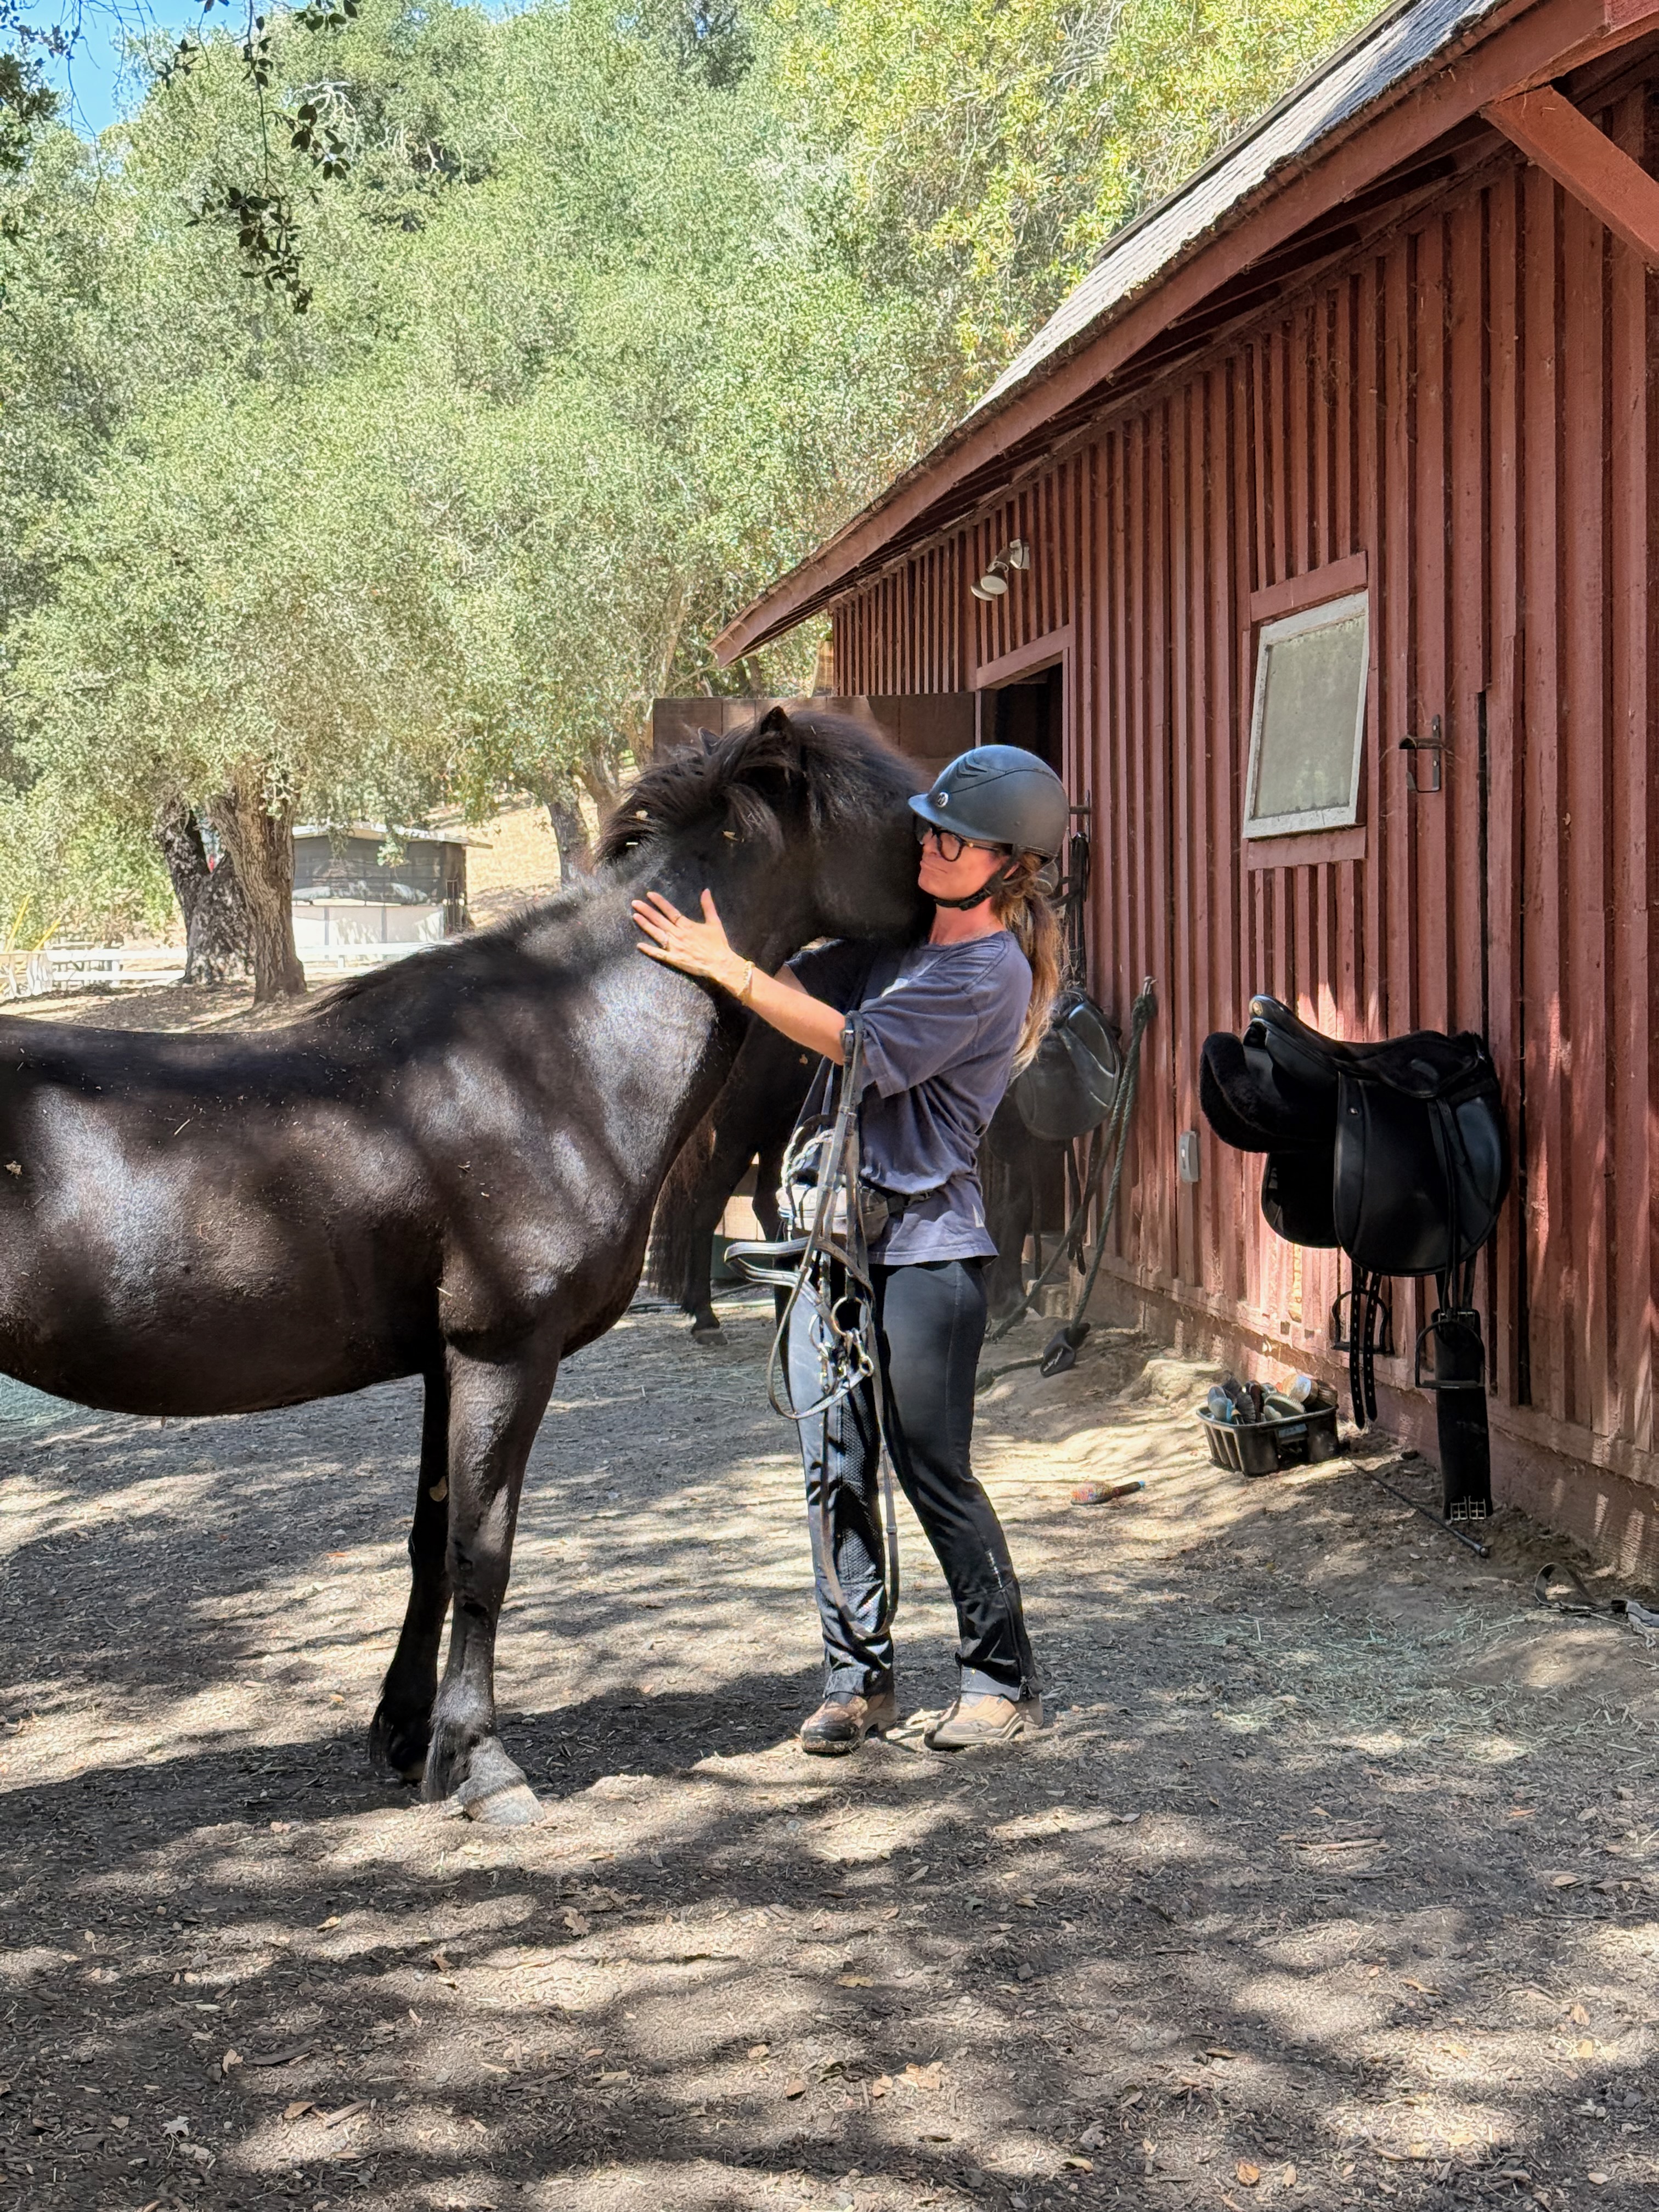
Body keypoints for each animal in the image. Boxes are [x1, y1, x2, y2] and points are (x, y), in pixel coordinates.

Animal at [0, 709, 928, 1823]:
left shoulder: (448, 1364)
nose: (1031, 878)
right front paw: (482, 1763)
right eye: (898, 805)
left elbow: (428, 1546)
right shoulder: (504, 1353)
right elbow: (483, 1550)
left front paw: (406, 1738)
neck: (562, 1054)